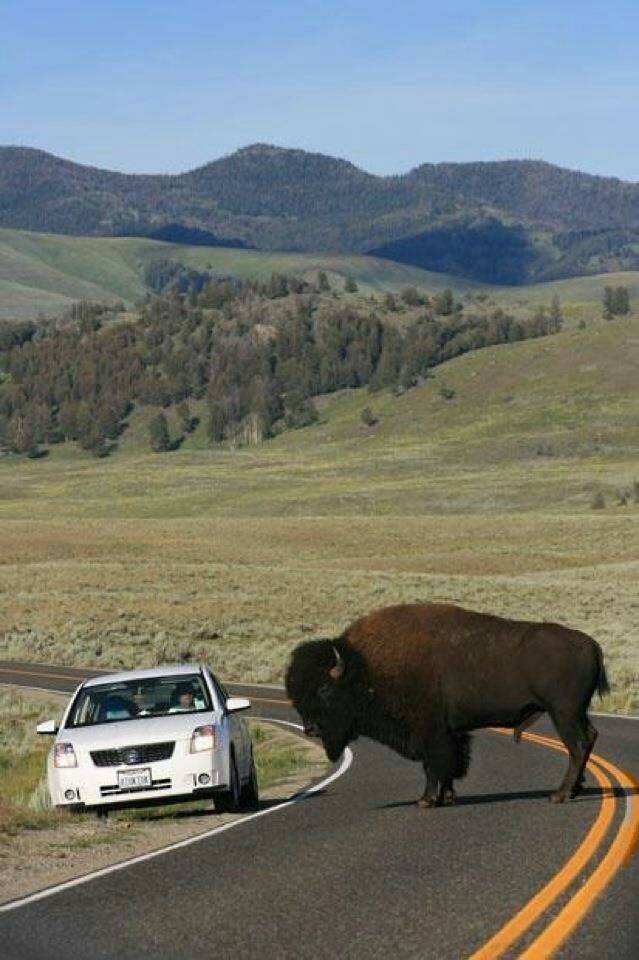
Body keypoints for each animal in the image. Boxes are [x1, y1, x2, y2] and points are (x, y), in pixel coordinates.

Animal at [286, 604, 608, 808]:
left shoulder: (429, 732)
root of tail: (591, 644)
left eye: (324, 689)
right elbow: (451, 764)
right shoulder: (450, 733)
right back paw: (574, 790)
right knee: (589, 738)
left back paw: (560, 795)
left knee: (578, 744)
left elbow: (434, 766)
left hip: (563, 712)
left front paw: (426, 800)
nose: (309, 728)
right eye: (296, 693)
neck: (364, 668)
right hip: (575, 712)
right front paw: (448, 797)